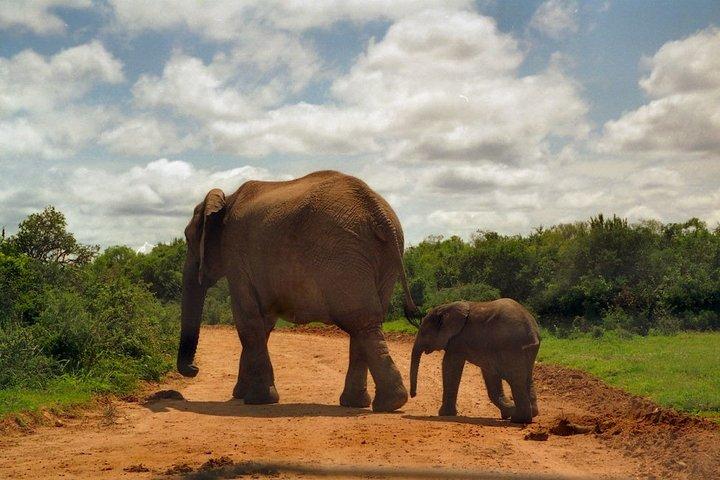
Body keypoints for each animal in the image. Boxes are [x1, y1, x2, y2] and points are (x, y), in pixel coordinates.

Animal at [177, 170, 420, 412]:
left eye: (188, 238)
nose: (194, 369)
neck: (227, 199)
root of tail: (378, 212)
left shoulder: (235, 254)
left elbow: (247, 321)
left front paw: (258, 400)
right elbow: (263, 323)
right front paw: (242, 395)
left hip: (342, 254)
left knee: (360, 319)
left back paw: (386, 403)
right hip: (378, 256)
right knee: (365, 322)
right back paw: (364, 403)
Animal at [409, 299, 540, 423]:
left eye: (423, 332)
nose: (413, 395)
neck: (445, 307)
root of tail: (532, 330)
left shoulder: (458, 340)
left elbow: (450, 365)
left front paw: (444, 414)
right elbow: (489, 375)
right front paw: (508, 411)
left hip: (512, 348)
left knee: (516, 381)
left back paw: (518, 419)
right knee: (527, 379)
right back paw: (529, 413)